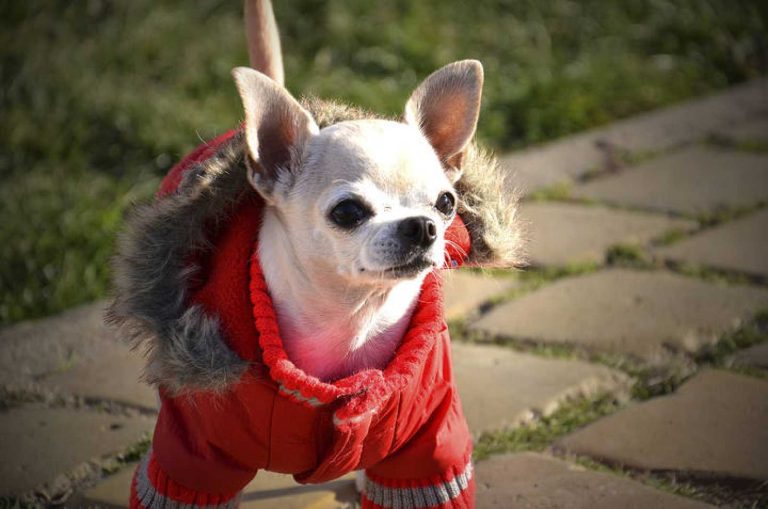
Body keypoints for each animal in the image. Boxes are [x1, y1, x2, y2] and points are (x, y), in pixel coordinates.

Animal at [112, 1, 520, 506]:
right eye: (347, 211)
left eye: (446, 203)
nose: (422, 226)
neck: (351, 318)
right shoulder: (195, 451)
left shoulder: (427, 440)